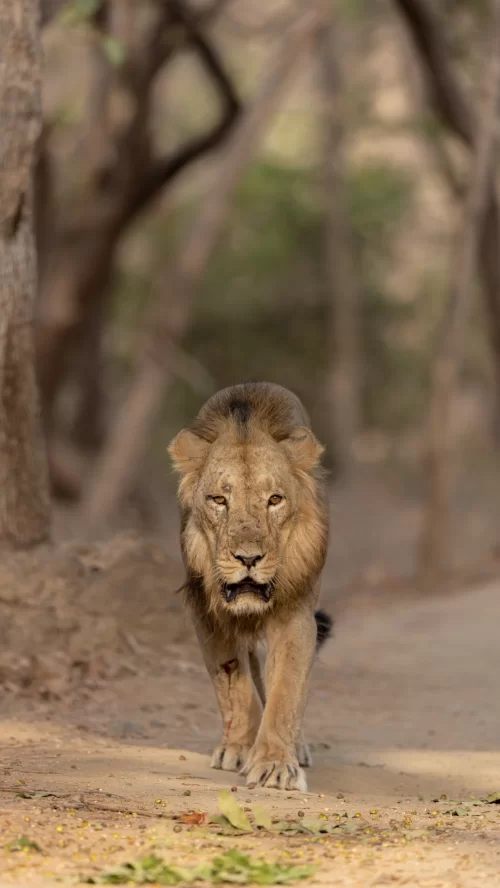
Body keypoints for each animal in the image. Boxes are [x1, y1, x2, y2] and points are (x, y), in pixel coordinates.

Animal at [168, 382, 331, 791]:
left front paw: (274, 764)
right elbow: (234, 684)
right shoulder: (206, 612)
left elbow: (286, 691)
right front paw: (240, 747)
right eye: (219, 500)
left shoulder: (295, 613)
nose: (248, 559)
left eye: (274, 500)